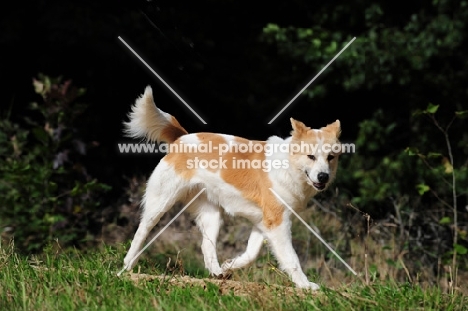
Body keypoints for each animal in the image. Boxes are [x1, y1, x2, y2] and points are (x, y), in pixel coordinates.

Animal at [120, 86, 340, 292]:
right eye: (311, 156)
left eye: (330, 157)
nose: (324, 176)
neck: (287, 166)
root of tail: (181, 138)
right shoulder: (278, 223)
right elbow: (291, 258)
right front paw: (305, 285)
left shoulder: (262, 223)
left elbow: (251, 254)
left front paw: (230, 265)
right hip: (160, 203)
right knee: (141, 232)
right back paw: (126, 268)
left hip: (212, 215)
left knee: (206, 246)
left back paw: (218, 272)